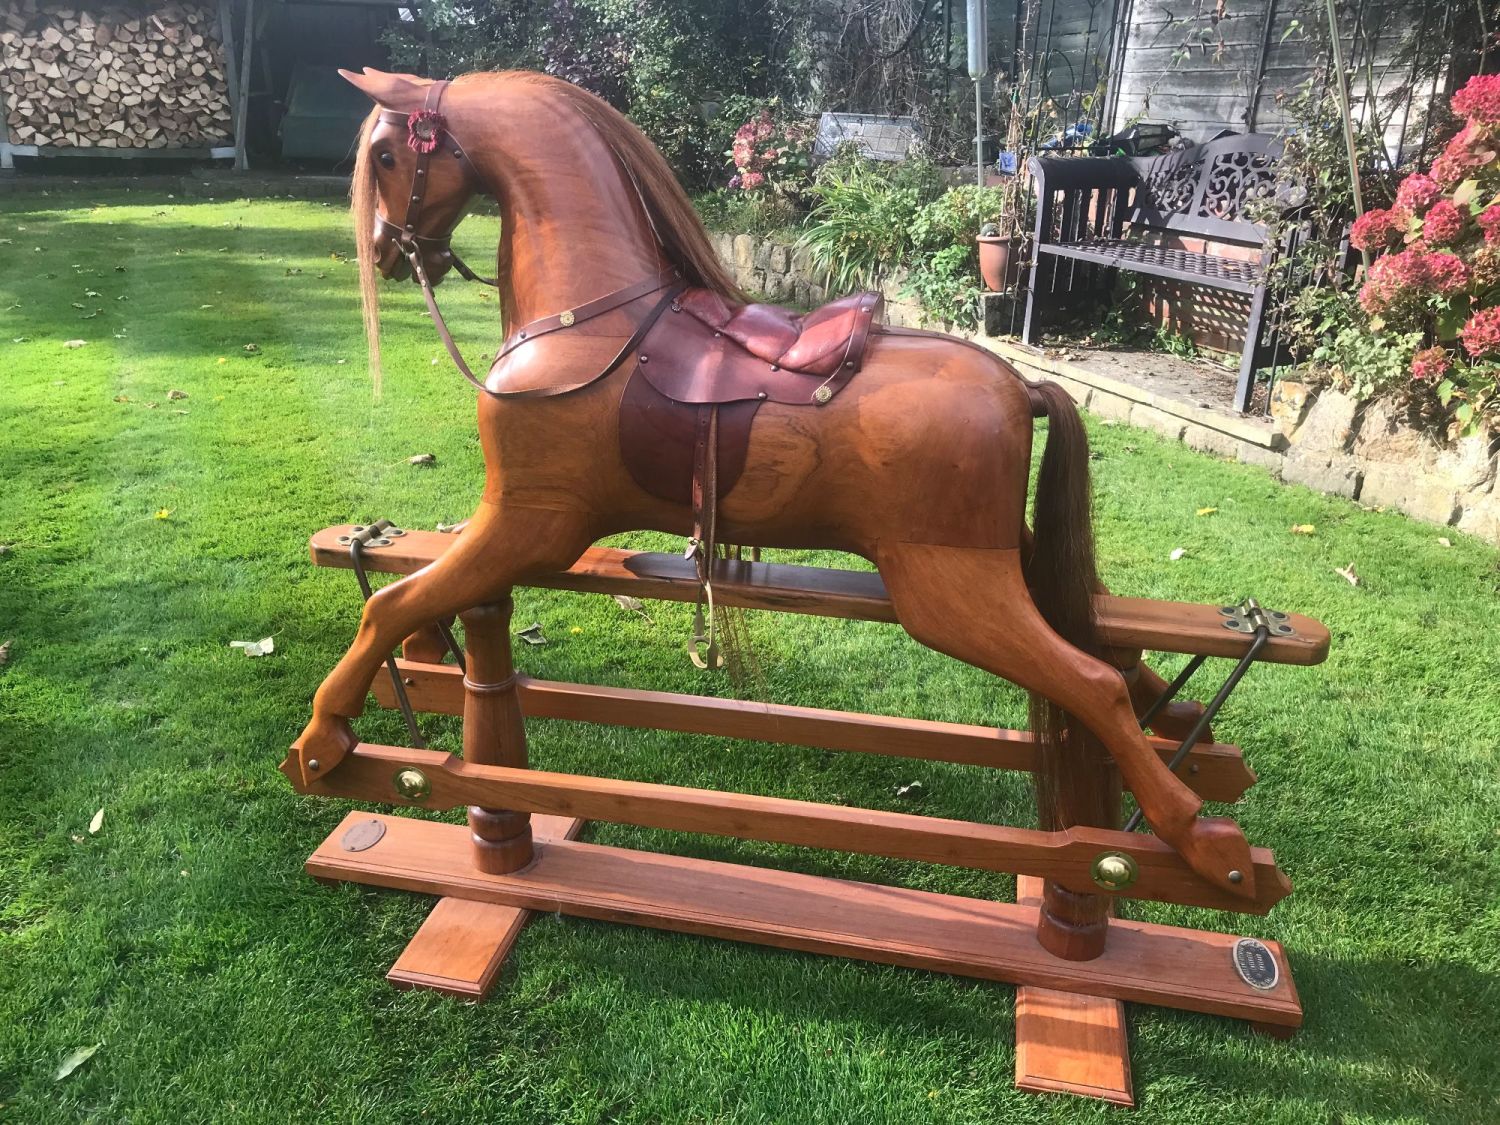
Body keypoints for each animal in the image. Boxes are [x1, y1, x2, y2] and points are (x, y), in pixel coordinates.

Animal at [288, 67, 1256, 900]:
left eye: (386, 155)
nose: (383, 252)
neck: (589, 322)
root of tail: (1020, 386)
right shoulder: (515, 527)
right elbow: (415, 589)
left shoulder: (529, 520)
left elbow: (390, 605)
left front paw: (323, 737)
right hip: (1003, 559)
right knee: (1106, 644)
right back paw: (1189, 733)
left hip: (947, 588)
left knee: (1089, 681)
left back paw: (1202, 838)